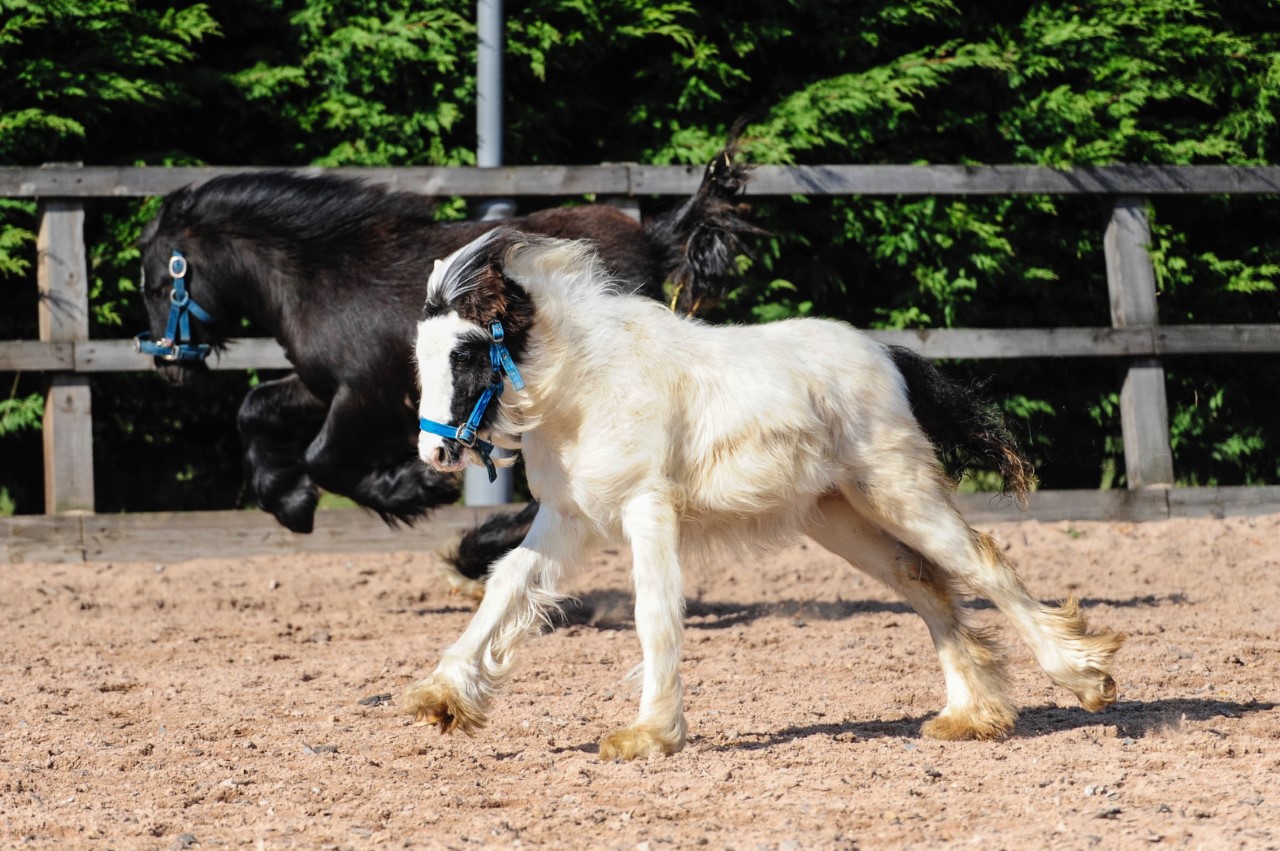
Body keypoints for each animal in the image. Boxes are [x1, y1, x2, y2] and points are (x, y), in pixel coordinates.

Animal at [137, 145, 757, 580]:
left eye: (158, 281)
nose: (167, 365)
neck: (324, 277)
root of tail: (650, 242)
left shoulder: (365, 395)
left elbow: (323, 457)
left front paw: (415, 490)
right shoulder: (320, 384)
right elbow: (254, 407)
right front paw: (291, 504)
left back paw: (475, 550)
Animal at [407, 223, 1121, 757]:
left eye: (467, 353)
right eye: (423, 355)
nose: (434, 452)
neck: (588, 387)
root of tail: (886, 356)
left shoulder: (647, 509)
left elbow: (655, 612)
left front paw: (649, 733)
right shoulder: (568, 518)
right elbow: (507, 585)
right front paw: (442, 698)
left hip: (898, 491)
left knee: (981, 565)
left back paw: (1085, 680)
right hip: (838, 518)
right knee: (923, 580)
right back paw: (972, 714)